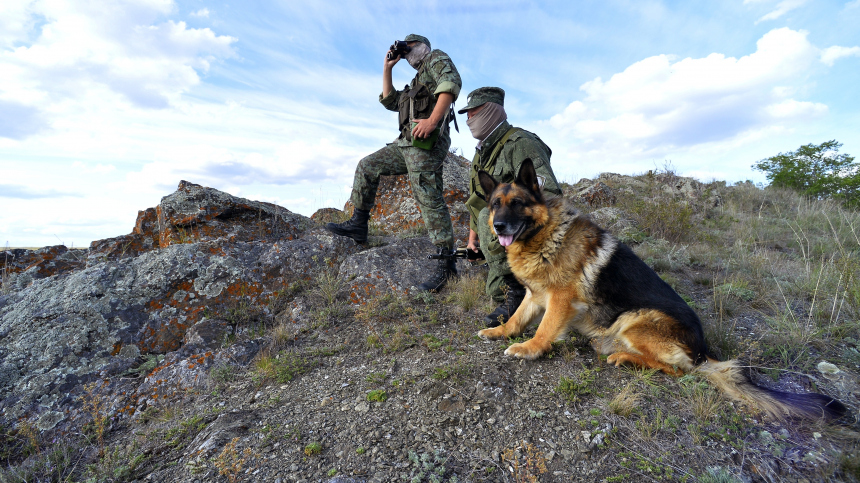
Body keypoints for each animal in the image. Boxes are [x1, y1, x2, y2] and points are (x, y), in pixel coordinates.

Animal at [478, 161, 848, 422]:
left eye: (517, 203)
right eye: (495, 204)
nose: (498, 226)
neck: (543, 234)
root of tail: (703, 351)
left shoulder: (560, 300)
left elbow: (543, 329)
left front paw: (529, 349)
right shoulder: (534, 295)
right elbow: (517, 318)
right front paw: (499, 332)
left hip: (636, 319)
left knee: (677, 369)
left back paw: (625, 357)